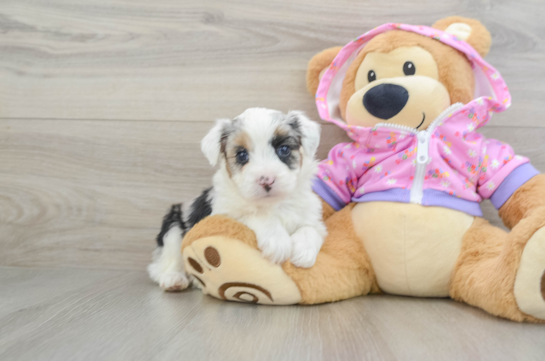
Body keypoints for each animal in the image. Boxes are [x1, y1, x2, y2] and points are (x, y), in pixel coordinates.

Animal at [149, 107, 326, 290]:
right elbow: (257, 216)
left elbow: (311, 229)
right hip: (173, 227)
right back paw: (174, 278)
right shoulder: (224, 214)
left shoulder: (312, 215)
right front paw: (277, 241)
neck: (273, 203)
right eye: (242, 155)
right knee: (163, 264)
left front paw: (304, 252)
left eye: (283, 150)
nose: (267, 180)